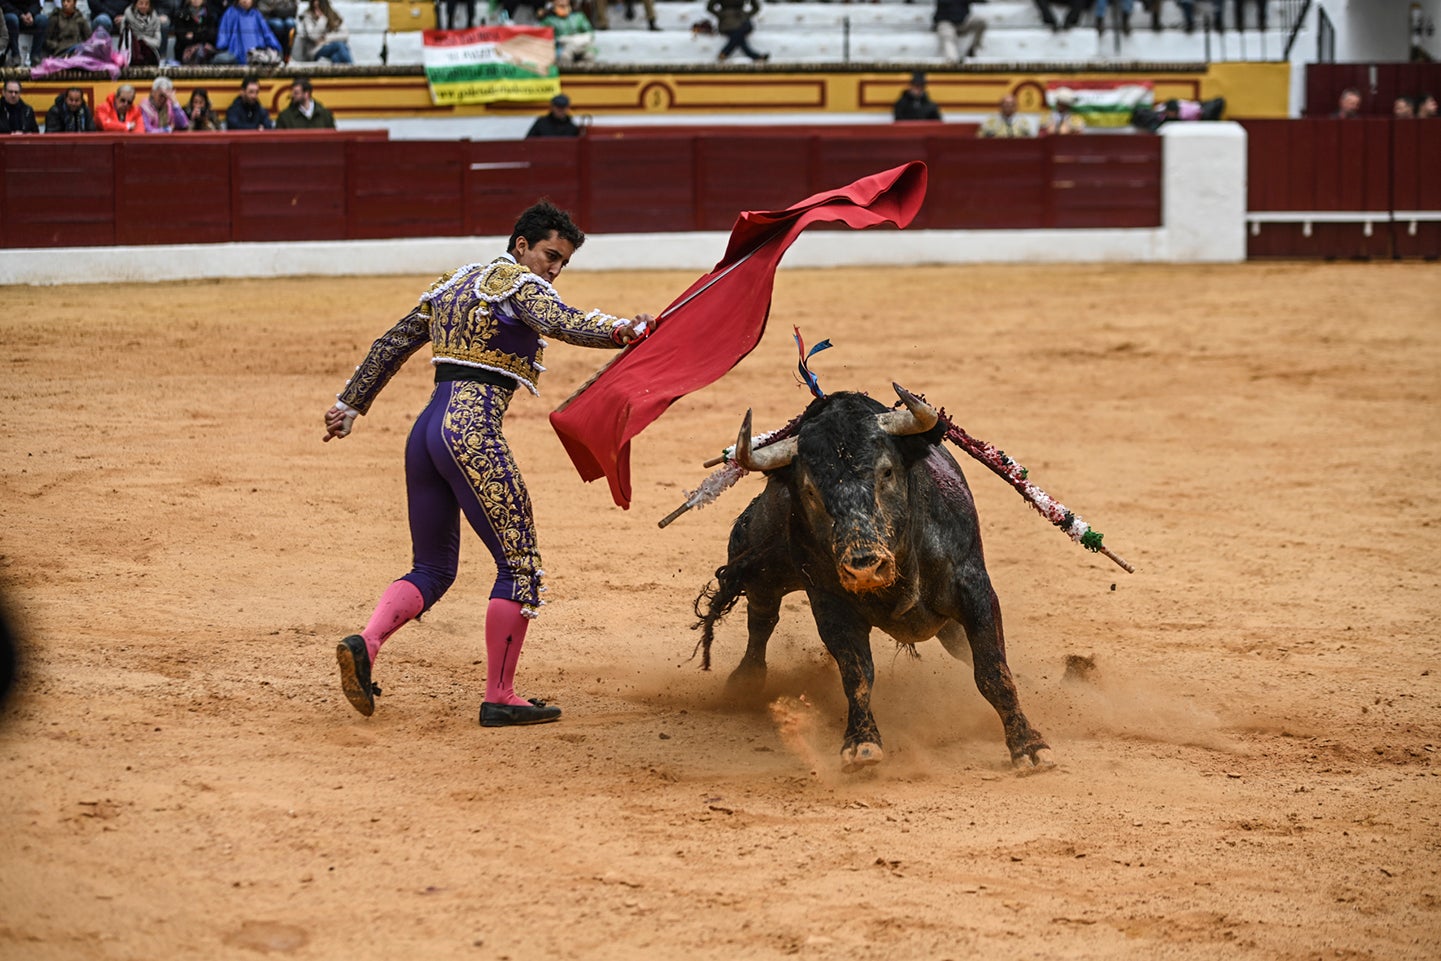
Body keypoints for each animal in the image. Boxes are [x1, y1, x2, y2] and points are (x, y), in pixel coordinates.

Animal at [691, 386, 1054, 772]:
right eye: (810, 491)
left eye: (887, 472)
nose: (864, 566)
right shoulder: (832, 609)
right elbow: (858, 675)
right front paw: (862, 743)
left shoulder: (975, 591)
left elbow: (992, 671)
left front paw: (1028, 745)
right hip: (761, 563)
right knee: (762, 615)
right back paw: (745, 682)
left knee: (963, 648)